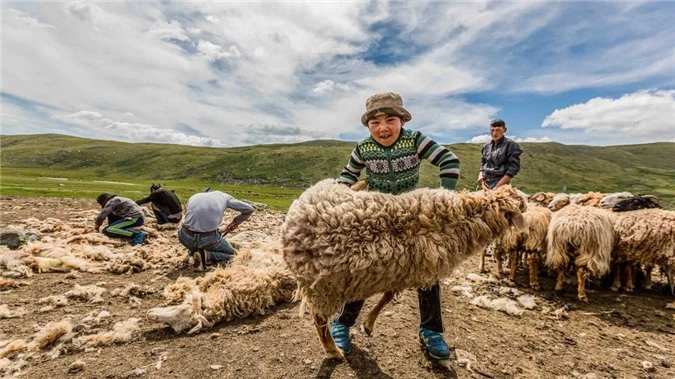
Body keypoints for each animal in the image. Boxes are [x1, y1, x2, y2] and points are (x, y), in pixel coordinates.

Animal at [280, 180, 528, 360]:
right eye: (521, 203)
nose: (528, 202)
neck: (460, 219)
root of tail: (296, 210)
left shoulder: (404, 270)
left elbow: (389, 295)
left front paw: (369, 323)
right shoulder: (422, 269)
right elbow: (389, 296)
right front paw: (368, 324)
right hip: (324, 286)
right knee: (319, 319)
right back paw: (333, 351)